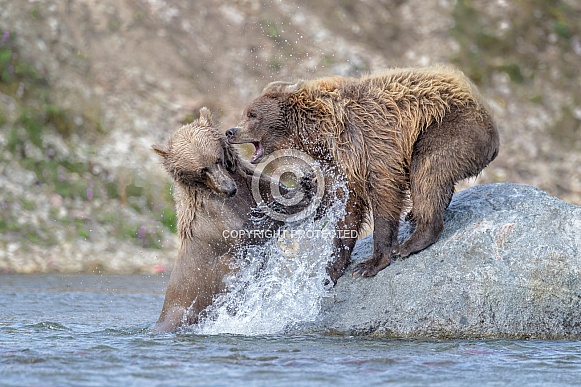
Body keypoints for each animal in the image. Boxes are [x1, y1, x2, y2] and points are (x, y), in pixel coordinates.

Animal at [152, 107, 310, 332]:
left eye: (217, 159)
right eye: (202, 171)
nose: (229, 189)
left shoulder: (250, 184)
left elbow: (274, 190)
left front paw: (305, 182)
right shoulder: (215, 219)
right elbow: (250, 232)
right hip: (185, 309)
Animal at [227, 65, 498, 284]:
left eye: (251, 114)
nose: (231, 131)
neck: (317, 130)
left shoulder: (368, 141)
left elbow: (384, 192)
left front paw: (371, 263)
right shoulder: (340, 164)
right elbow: (349, 208)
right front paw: (333, 268)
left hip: (449, 127)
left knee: (427, 170)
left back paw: (414, 240)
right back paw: (415, 215)